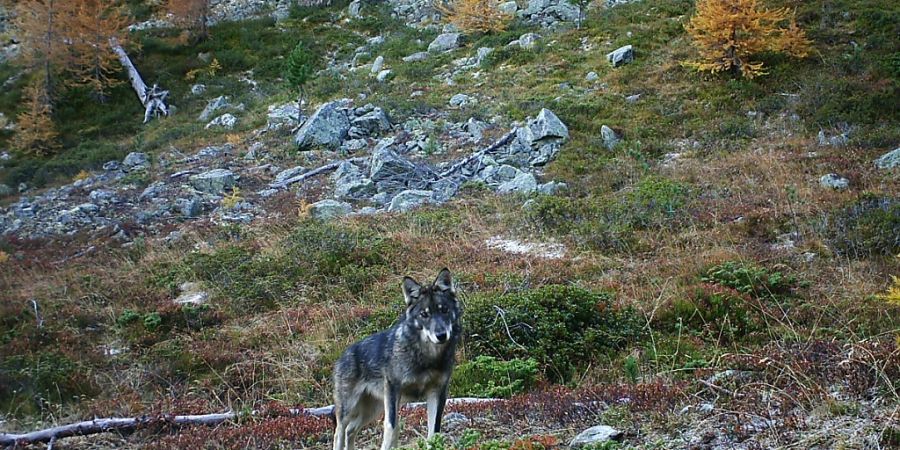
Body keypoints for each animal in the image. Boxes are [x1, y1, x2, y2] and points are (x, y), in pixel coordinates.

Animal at [330, 268, 460, 450]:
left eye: (444, 310)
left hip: (372, 410)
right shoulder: (393, 390)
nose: (441, 335)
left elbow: (434, 431)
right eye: (424, 314)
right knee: (339, 432)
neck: (427, 357)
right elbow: (391, 427)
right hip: (348, 408)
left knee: (351, 430)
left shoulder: (437, 392)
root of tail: (343, 355)